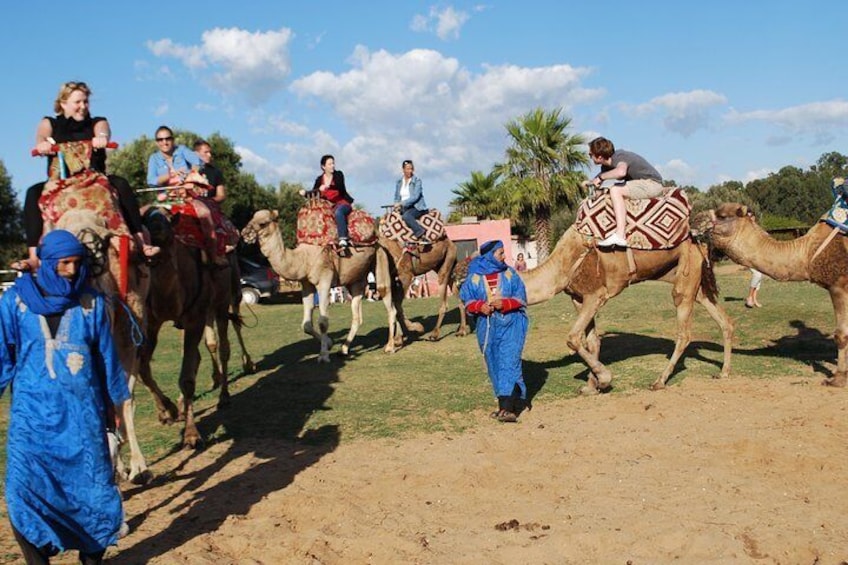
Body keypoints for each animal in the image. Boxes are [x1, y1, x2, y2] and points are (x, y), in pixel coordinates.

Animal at [240, 208, 376, 362]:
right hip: (355, 280)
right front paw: (329, 343)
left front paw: (323, 355)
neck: (303, 259)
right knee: (358, 314)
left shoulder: (324, 280)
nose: (244, 233)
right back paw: (344, 349)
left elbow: (323, 322)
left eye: (263, 223)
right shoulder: (306, 284)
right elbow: (306, 325)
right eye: (251, 218)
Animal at [516, 225, 736, 392]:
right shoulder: (578, 298)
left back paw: (659, 381)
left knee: (684, 332)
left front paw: (604, 378)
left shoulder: (595, 295)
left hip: (686, 273)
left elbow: (573, 338)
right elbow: (592, 341)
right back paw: (724, 372)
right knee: (724, 320)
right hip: (694, 281)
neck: (562, 264)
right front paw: (592, 386)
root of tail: (699, 241)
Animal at [708, 203, 848, 388]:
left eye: (722, 215)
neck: (807, 252)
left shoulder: (838, 285)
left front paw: (838, 379)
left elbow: (841, 334)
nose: (697, 220)